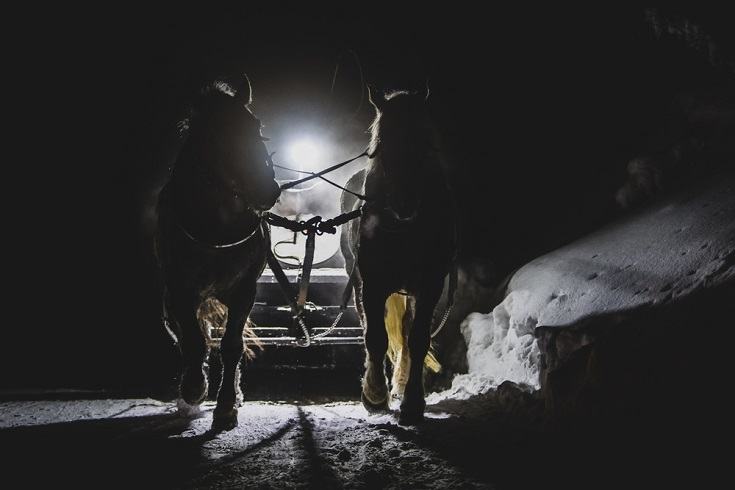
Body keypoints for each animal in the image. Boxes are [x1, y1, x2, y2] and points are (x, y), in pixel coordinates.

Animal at [155, 75, 280, 430]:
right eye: (215, 134)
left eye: (256, 125)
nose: (268, 189)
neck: (216, 230)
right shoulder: (181, 291)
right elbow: (194, 342)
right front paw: (194, 390)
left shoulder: (244, 292)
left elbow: (232, 345)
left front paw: (226, 405)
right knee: (185, 338)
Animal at [341, 85, 457, 425]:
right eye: (380, 147)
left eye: (426, 145)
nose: (404, 204)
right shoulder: (373, 284)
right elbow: (375, 337)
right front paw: (374, 395)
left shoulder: (430, 285)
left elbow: (417, 340)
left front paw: (412, 401)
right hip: (358, 282)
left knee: (405, 333)